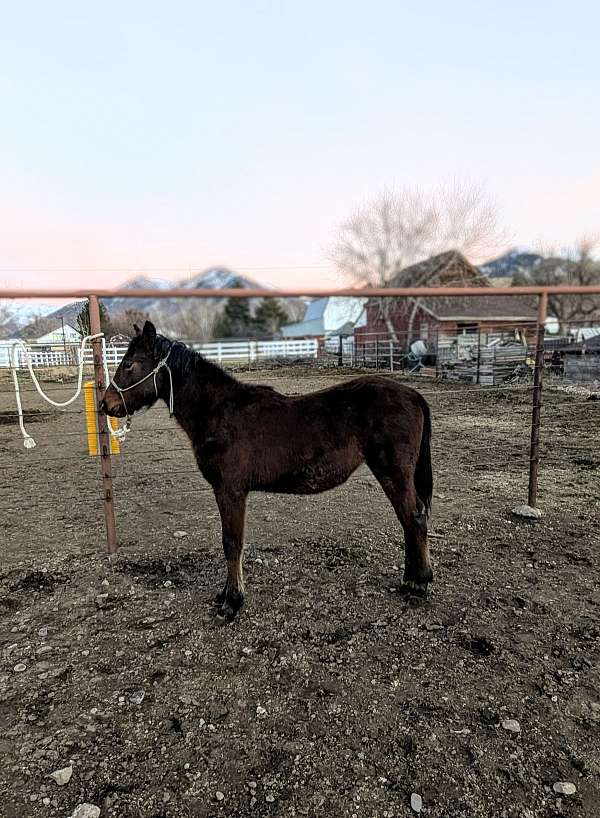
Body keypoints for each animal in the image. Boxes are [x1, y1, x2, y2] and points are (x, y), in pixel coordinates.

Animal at [101, 322, 434, 616]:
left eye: (130, 364)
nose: (106, 404)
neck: (219, 412)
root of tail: (414, 395)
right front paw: (225, 594)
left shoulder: (231, 490)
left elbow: (232, 543)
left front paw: (232, 602)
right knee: (410, 519)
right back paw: (412, 578)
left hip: (393, 472)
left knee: (413, 519)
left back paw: (418, 584)